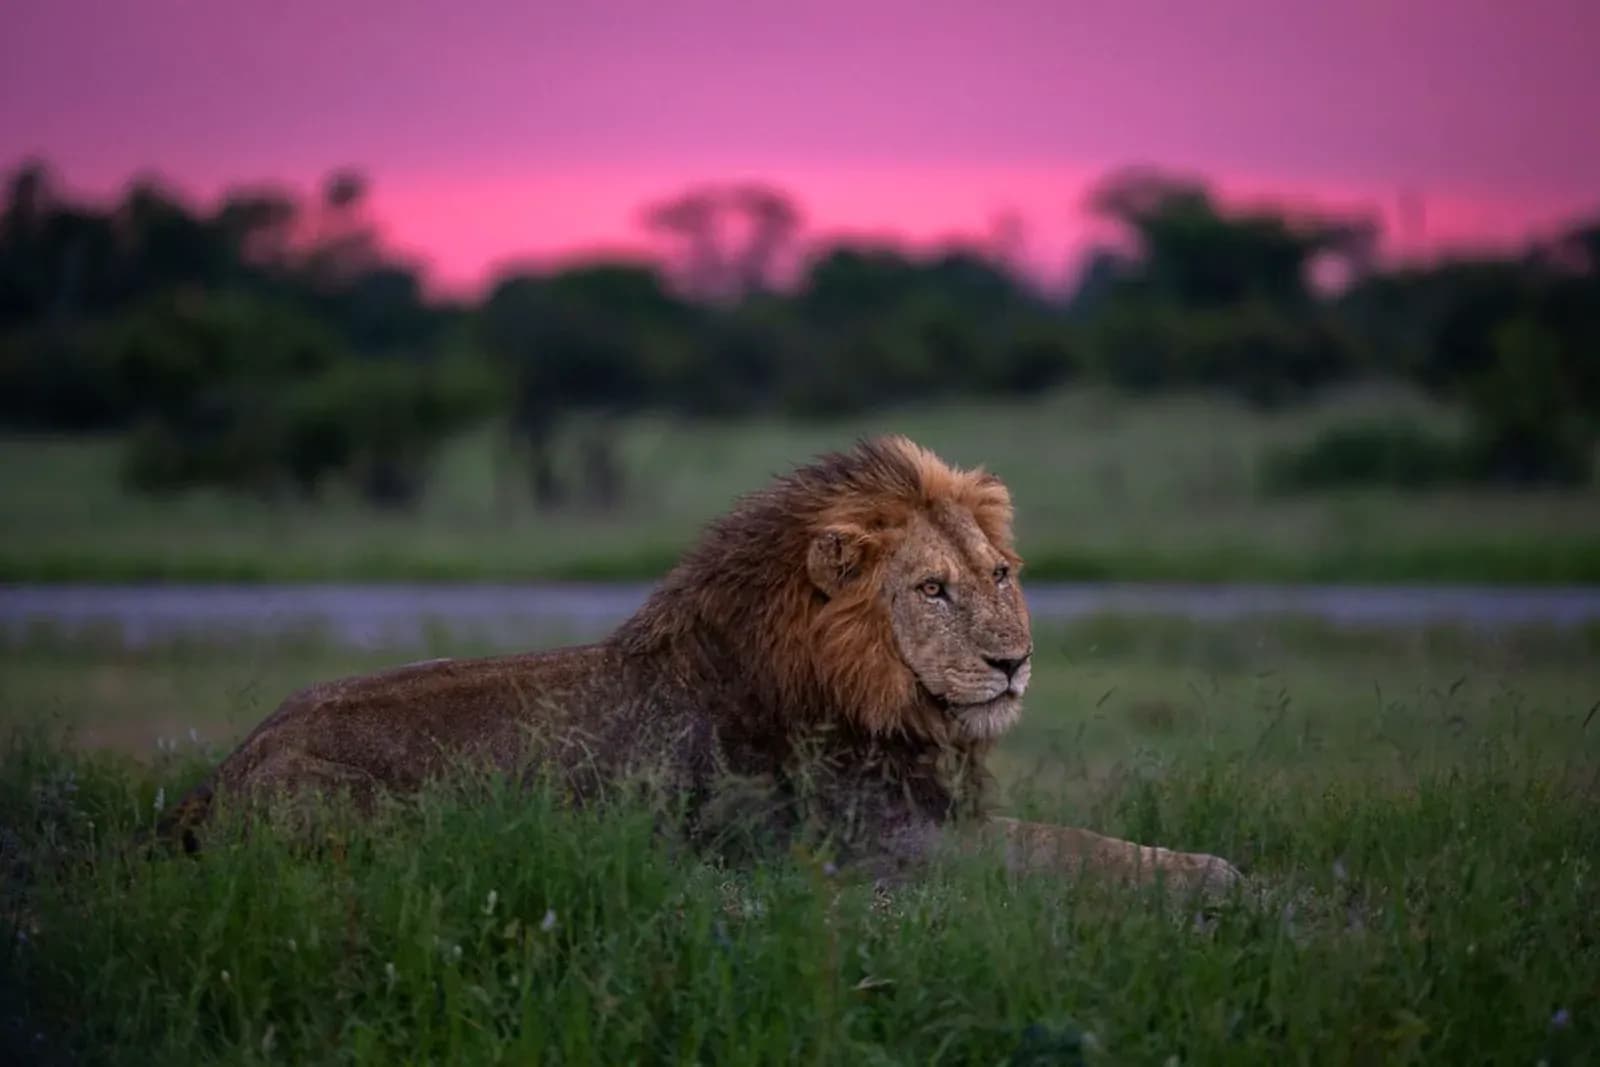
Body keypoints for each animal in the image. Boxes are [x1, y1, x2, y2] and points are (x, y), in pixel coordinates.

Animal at [163, 436, 1241, 896]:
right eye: (931, 589)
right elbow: (1071, 847)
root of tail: (225, 770)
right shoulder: (887, 843)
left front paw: (1208, 863)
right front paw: (1220, 874)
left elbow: (1084, 838)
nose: (1012, 661)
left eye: (1000, 574)